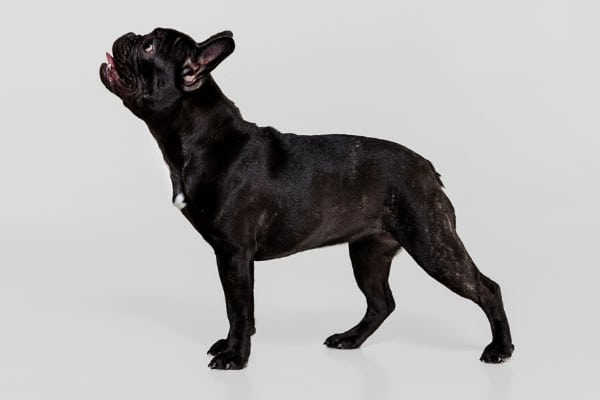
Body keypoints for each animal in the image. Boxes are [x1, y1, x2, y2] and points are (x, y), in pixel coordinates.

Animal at [99, 28, 516, 370]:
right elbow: (242, 311)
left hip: (431, 243)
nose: (128, 35)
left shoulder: (233, 253)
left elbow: (238, 308)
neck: (196, 136)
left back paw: (500, 349)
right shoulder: (236, 259)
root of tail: (426, 167)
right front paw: (233, 346)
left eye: (150, 46)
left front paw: (236, 357)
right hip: (368, 252)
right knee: (381, 302)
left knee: (486, 288)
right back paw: (350, 338)